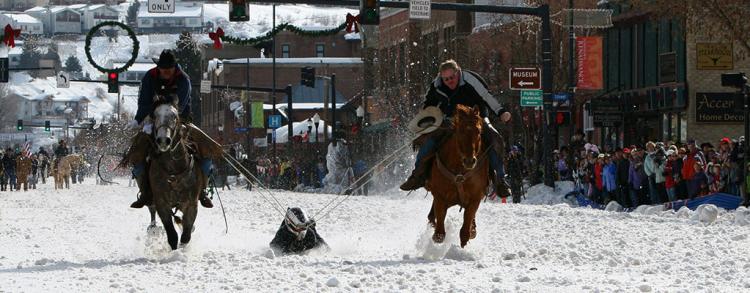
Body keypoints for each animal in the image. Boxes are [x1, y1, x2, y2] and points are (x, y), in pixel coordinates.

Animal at [426, 104, 490, 246]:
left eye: (478, 131)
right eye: (460, 131)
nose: (470, 161)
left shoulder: (476, 197)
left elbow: (468, 220)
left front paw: (469, 233)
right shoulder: (440, 195)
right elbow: (439, 226)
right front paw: (437, 235)